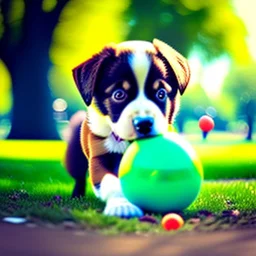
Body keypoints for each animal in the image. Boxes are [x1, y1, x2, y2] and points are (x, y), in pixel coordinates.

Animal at [65, 38, 190, 218]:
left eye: (161, 93)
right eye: (119, 94)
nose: (144, 123)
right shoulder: (99, 157)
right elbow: (111, 182)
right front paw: (122, 206)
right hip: (74, 157)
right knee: (79, 177)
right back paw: (77, 195)